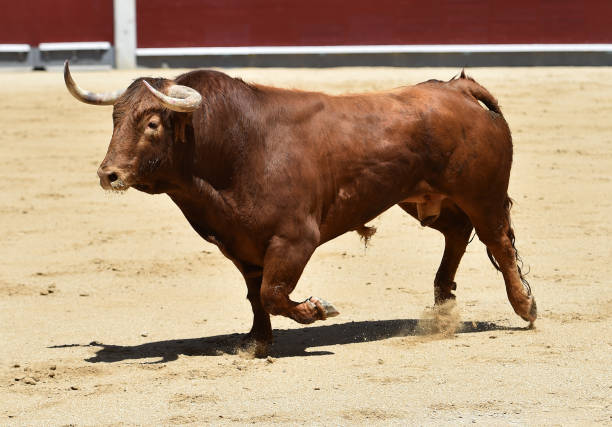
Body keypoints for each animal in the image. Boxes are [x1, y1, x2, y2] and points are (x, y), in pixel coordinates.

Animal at [64, 60, 536, 354]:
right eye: (114, 119)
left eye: (152, 123)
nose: (109, 174)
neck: (233, 144)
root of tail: (457, 88)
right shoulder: (241, 244)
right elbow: (256, 295)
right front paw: (256, 343)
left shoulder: (294, 239)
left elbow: (274, 293)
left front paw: (317, 309)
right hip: (422, 199)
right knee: (457, 233)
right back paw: (442, 305)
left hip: (482, 195)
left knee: (498, 242)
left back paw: (524, 308)